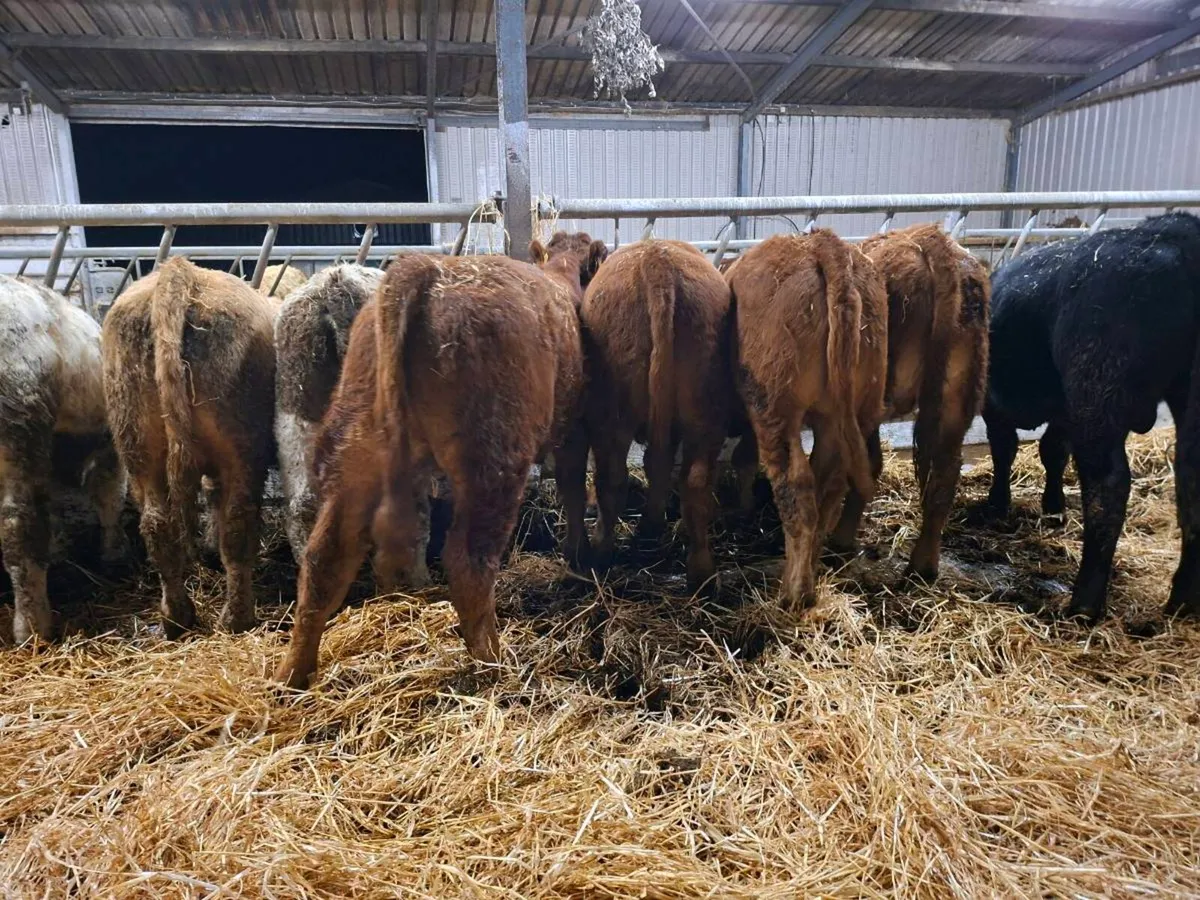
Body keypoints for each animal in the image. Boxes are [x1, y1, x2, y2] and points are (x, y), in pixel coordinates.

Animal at [102, 257, 277, 638]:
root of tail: (180, 272)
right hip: (241, 450)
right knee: (236, 524)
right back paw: (235, 619)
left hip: (139, 445)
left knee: (159, 524)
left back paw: (177, 616)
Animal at [559, 239, 733, 593]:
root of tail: (657, 262)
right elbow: (658, 465)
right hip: (705, 413)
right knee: (695, 481)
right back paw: (700, 571)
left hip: (611, 418)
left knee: (612, 478)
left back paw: (601, 551)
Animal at [727, 231, 888, 611]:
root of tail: (823, 244)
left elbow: (743, 458)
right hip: (848, 415)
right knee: (828, 488)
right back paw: (809, 580)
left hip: (774, 409)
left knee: (796, 487)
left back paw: (794, 594)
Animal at [983, 212, 1200, 623]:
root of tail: (1174, 232)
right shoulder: (1063, 411)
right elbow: (1052, 452)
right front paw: (1053, 507)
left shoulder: (996, 403)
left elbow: (1006, 452)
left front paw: (997, 505)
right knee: (1191, 481)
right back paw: (1184, 602)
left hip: (1098, 391)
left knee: (1107, 487)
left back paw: (1084, 603)